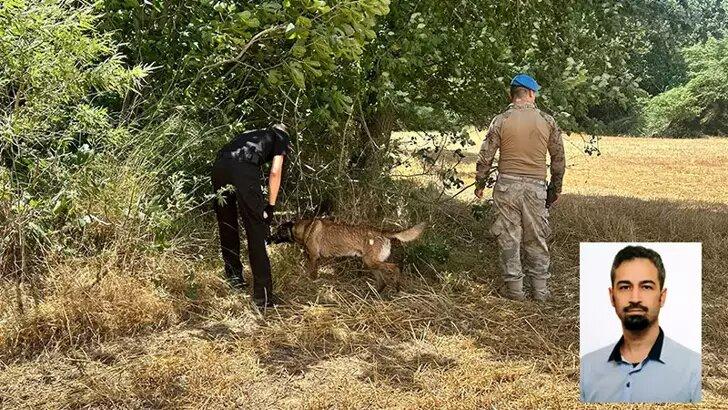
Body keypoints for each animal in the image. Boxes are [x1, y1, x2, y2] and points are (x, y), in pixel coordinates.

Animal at [270, 219, 424, 294]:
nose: (268, 239)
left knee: (396, 267)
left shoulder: (313, 258)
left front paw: (311, 284)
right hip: (370, 263)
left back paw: (397, 287)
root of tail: (381, 231)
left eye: (278, 232)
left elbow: (312, 274)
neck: (304, 229)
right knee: (382, 282)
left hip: (372, 262)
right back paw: (372, 295)